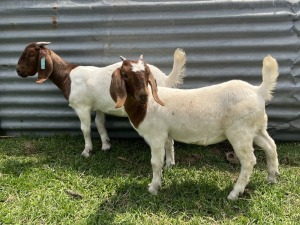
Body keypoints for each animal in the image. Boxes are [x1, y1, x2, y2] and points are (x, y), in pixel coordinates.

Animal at [16, 41, 186, 161]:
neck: (67, 76)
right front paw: (106, 146)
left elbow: (85, 128)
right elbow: (100, 124)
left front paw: (87, 151)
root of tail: (165, 78)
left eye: (30, 54)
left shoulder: (82, 107)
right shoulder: (99, 106)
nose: (18, 70)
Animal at [111, 55, 280, 200]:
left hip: (240, 132)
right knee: (270, 146)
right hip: (256, 128)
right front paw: (169, 167)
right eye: (125, 75)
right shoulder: (166, 133)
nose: (143, 96)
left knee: (249, 161)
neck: (147, 107)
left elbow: (155, 162)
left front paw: (153, 188)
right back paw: (272, 177)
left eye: (146, 73)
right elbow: (169, 147)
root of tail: (258, 91)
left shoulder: (156, 136)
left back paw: (234, 193)